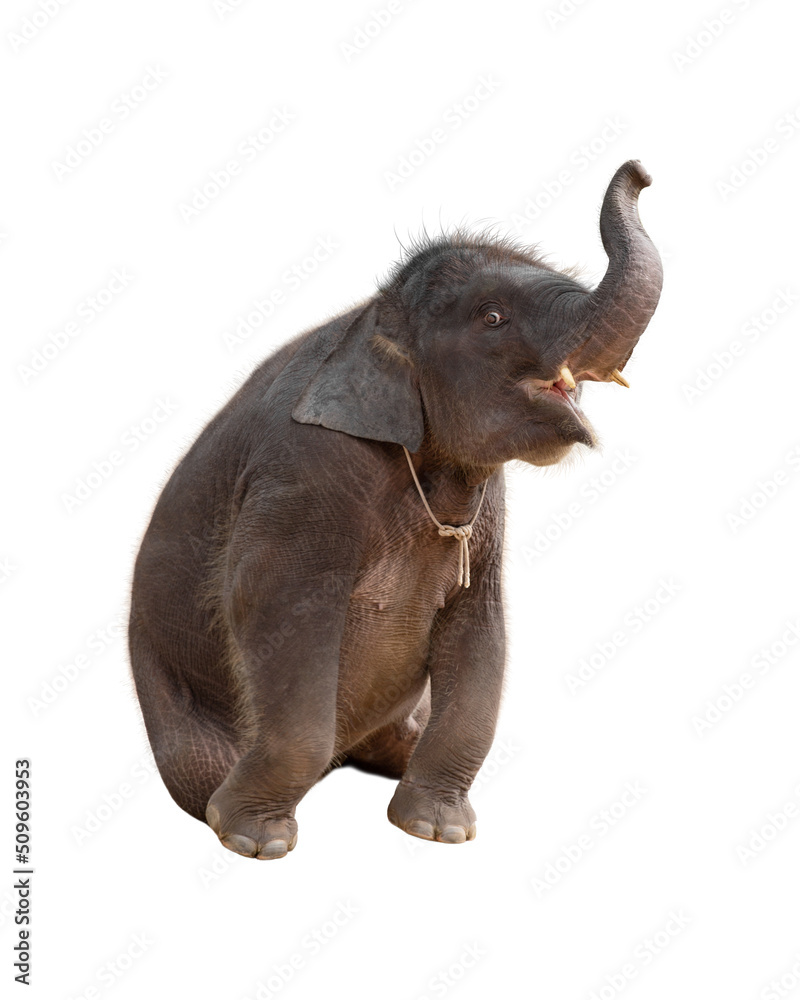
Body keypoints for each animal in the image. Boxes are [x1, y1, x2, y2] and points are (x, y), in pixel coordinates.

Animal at [129, 159, 662, 860]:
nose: (642, 171)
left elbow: (480, 625)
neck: (373, 317)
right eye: (493, 317)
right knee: (200, 764)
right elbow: (273, 606)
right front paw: (254, 842)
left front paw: (439, 831)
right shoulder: (301, 472)